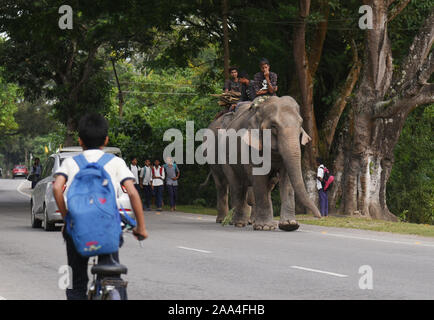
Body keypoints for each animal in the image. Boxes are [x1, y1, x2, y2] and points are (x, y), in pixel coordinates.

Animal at [207, 96, 322, 231]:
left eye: (300, 124)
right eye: (273, 126)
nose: (319, 216)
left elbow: (286, 180)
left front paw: (289, 225)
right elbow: (258, 179)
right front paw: (264, 227)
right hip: (223, 158)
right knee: (234, 186)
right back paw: (236, 222)